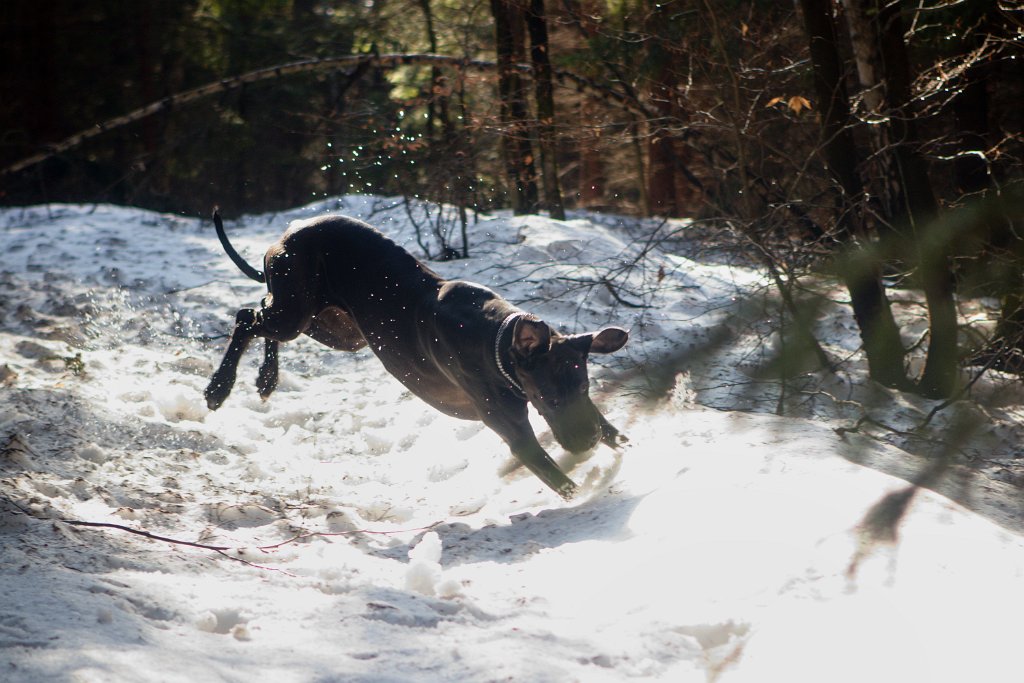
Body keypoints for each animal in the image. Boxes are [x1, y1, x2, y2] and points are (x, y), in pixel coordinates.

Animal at [204, 210, 626, 499]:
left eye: (586, 389)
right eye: (549, 398)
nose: (587, 441)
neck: (496, 337)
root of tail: (290, 230)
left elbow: (607, 426)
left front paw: (621, 443)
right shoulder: (512, 429)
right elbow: (553, 474)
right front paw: (587, 491)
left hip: (334, 327)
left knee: (257, 310)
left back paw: (266, 378)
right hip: (297, 308)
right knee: (247, 318)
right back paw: (219, 387)